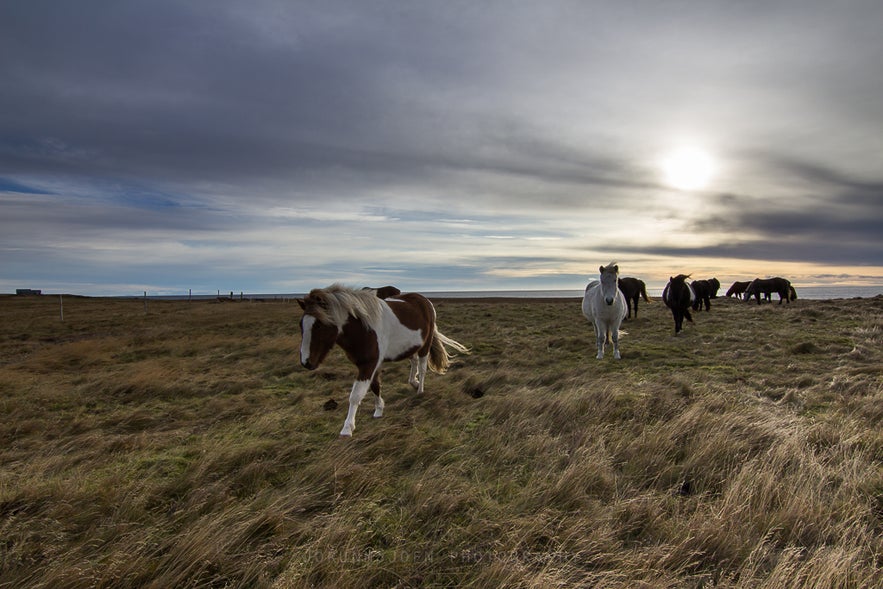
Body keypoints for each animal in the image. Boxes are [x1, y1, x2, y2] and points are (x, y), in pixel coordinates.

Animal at [296, 284, 470, 436]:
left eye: (319, 325)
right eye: (301, 324)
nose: (306, 362)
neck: (362, 328)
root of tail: (424, 300)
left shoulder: (368, 364)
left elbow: (355, 395)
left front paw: (347, 428)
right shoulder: (371, 364)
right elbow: (375, 385)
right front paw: (379, 410)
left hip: (424, 346)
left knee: (422, 368)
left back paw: (420, 389)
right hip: (411, 346)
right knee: (413, 362)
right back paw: (413, 382)